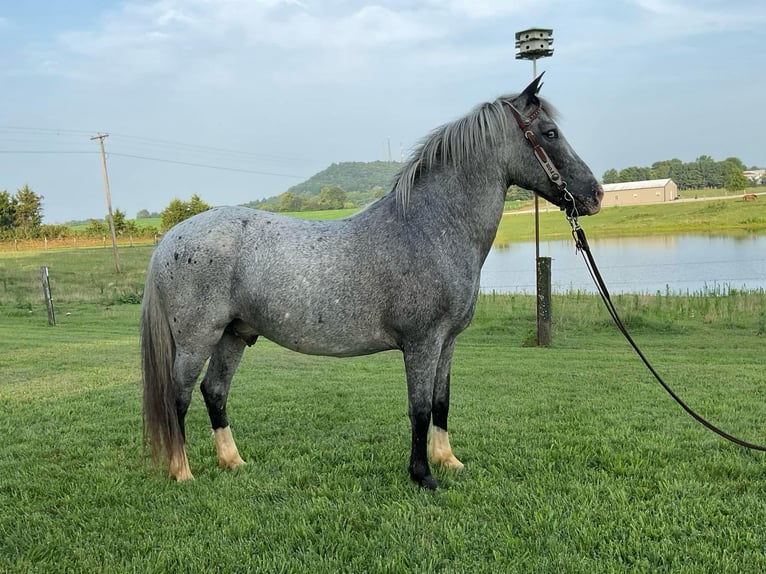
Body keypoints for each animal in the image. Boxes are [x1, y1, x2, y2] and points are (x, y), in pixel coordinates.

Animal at [141, 75, 604, 489]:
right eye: (550, 133)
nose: (595, 195)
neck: (427, 228)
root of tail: (168, 240)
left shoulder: (448, 342)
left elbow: (441, 402)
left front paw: (448, 461)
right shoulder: (421, 343)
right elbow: (419, 409)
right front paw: (423, 476)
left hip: (234, 335)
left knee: (215, 391)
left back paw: (233, 462)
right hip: (198, 339)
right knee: (179, 396)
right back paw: (182, 472)